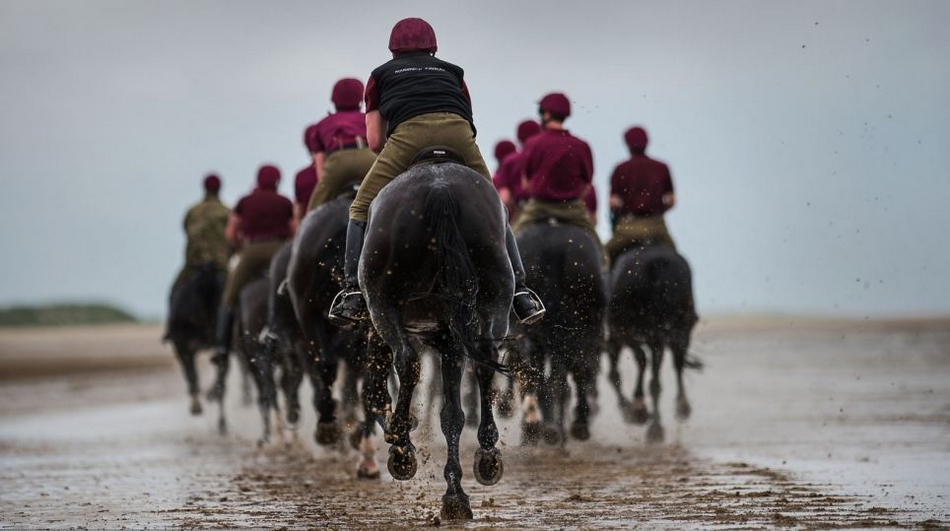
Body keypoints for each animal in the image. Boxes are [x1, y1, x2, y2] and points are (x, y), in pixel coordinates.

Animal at [166, 264, 226, 418]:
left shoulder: (182, 346)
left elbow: (191, 373)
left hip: (182, 344)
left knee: (193, 373)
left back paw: (198, 404)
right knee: (221, 368)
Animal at [362, 154, 512, 520]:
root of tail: (440, 190)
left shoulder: (377, 328)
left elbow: (376, 392)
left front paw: (401, 438)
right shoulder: (449, 339)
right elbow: (451, 414)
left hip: (383, 308)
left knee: (407, 363)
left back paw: (403, 444)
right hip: (491, 304)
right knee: (482, 369)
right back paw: (476, 470)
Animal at [608, 244, 700, 444]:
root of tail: (659, 265)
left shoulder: (620, 334)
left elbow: (617, 373)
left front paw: (634, 409)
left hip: (640, 332)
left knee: (646, 366)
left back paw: (649, 420)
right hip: (678, 329)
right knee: (675, 364)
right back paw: (678, 409)